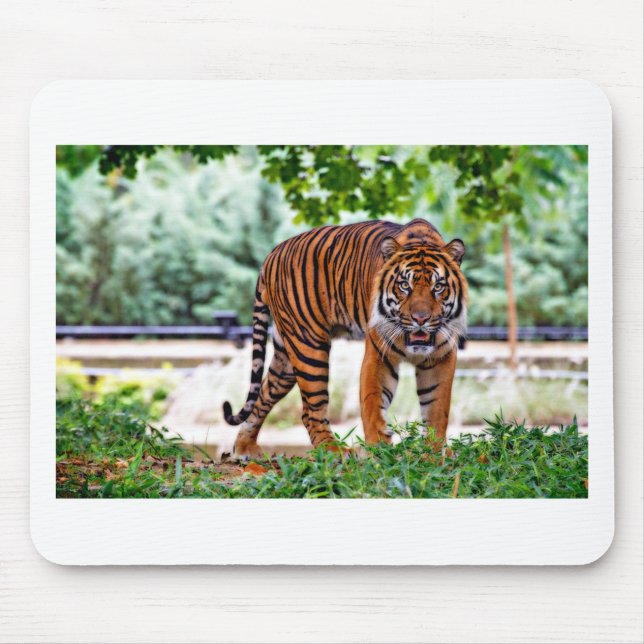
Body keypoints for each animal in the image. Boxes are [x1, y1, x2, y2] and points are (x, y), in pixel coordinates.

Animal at [223, 218, 467, 457]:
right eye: (404, 286)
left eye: (438, 287)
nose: (421, 319)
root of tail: (272, 253)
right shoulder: (379, 355)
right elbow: (373, 403)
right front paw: (379, 451)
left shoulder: (441, 358)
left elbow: (437, 408)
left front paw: (433, 451)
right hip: (308, 347)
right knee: (310, 410)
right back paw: (334, 450)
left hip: (286, 359)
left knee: (263, 395)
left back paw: (245, 448)